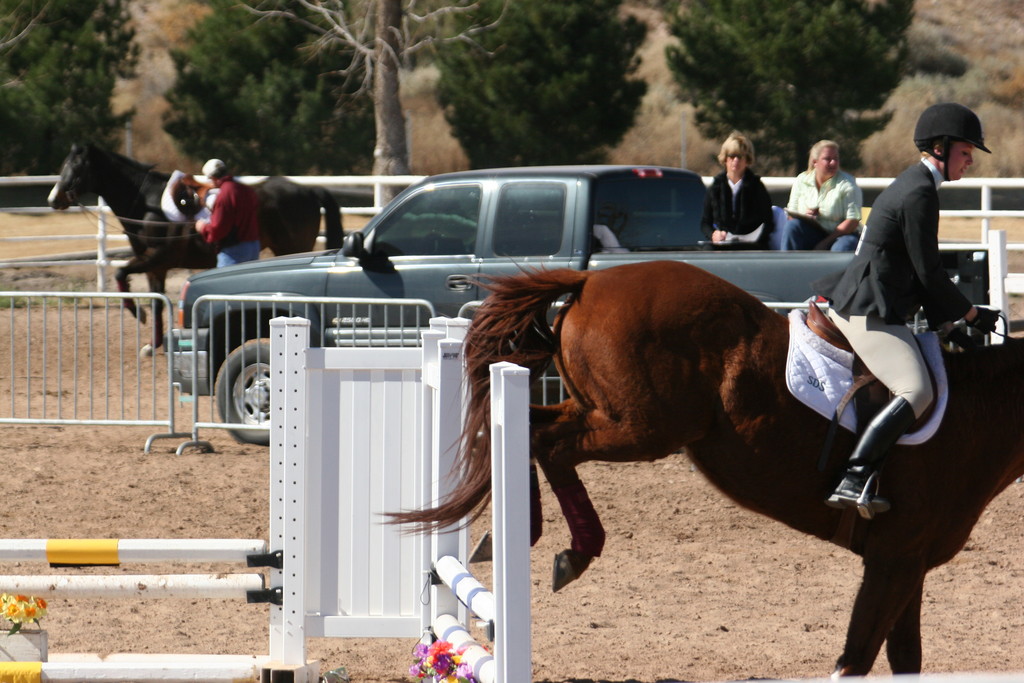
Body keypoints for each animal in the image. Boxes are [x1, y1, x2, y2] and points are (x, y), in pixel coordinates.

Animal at [47, 147, 344, 356]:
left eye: (76, 166)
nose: (53, 199)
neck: (147, 205)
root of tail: (308, 190)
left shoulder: (156, 257)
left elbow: (121, 275)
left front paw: (137, 313)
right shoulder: (156, 268)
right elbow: (157, 303)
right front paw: (152, 345)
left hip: (294, 247)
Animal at [395, 262, 1024, 679]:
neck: (976, 416)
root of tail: (592, 280)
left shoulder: (907, 566)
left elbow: (904, 659)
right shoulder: (893, 561)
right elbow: (855, 658)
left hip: (607, 412)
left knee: (531, 427)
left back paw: (528, 541)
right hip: (642, 428)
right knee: (546, 440)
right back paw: (560, 544)